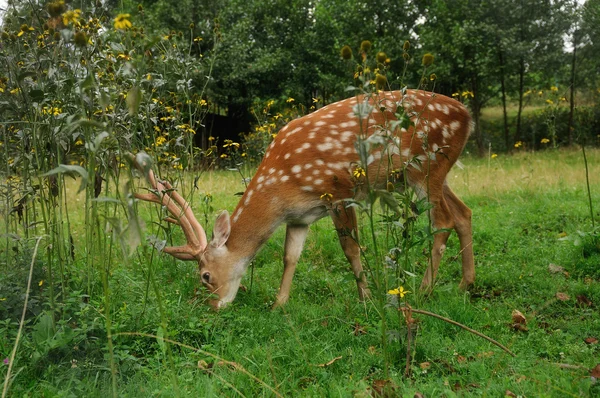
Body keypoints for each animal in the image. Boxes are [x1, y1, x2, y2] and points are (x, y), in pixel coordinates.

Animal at [135, 88, 474, 310]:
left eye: (205, 275)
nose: (213, 306)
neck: (282, 186)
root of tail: (467, 116)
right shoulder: (299, 217)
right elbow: (290, 256)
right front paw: (279, 304)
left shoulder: (339, 191)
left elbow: (351, 249)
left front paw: (365, 298)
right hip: (435, 173)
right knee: (464, 213)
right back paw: (466, 284)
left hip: (426, 166)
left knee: (442, 220)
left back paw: (425, 290)